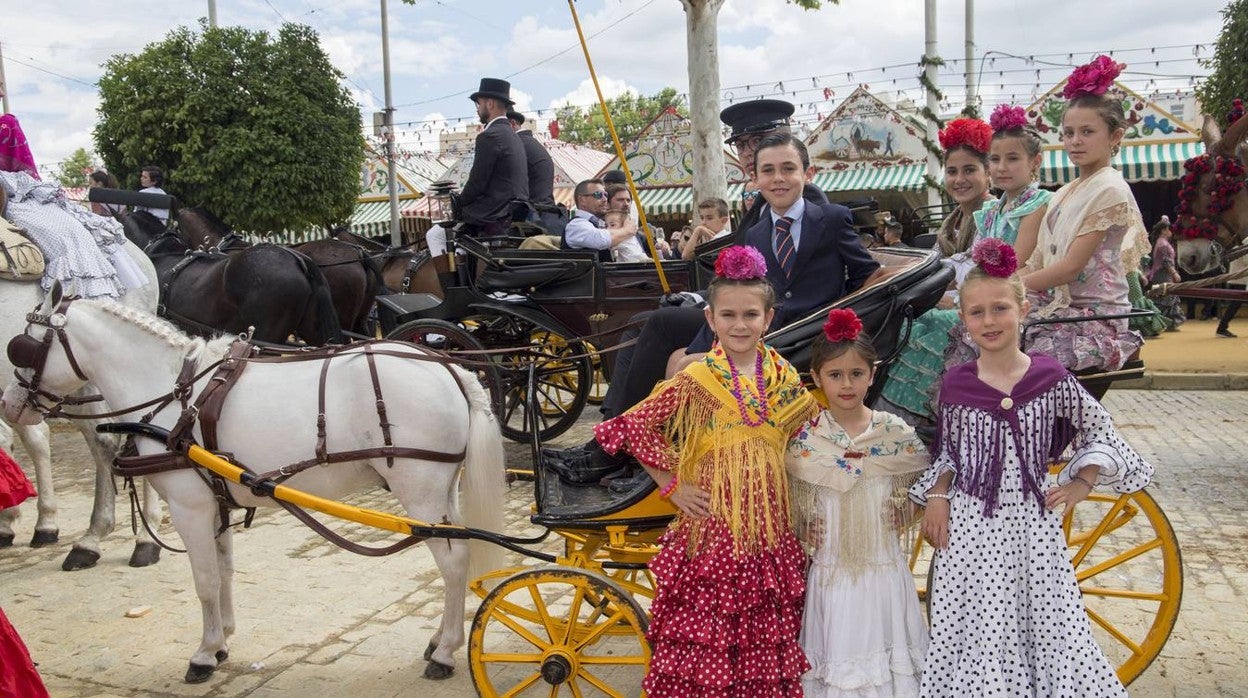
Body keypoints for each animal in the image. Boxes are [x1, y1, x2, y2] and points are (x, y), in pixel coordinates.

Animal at [2, 287, 506, 684]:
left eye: (20, 348)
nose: (8, 404)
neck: (176, 393)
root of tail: (452, 369)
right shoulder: (215, 503)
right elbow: (224, 572)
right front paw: (222, 640)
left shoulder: (189, 508)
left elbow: (204, 580)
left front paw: (203, 655)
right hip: (442, 491)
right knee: (456, 553)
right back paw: (438, 640)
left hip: (419, 491)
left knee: (452, 561)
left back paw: (446, 653)